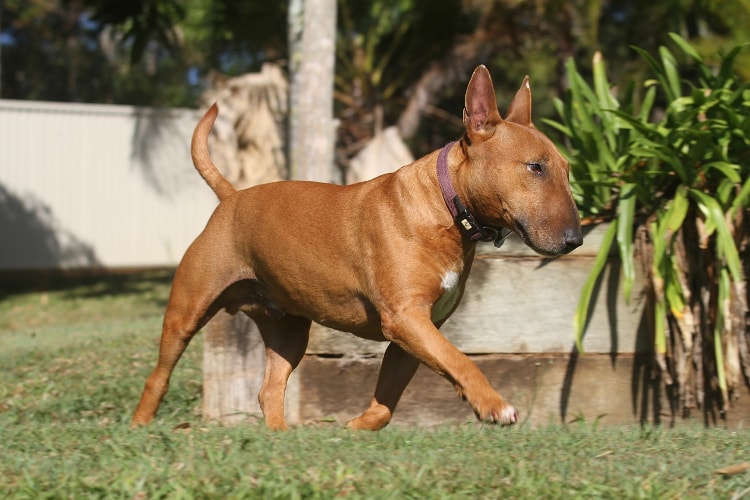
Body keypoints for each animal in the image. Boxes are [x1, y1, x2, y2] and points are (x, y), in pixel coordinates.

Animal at [132, 64, 584, 430]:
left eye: (566, 170)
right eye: (535, 167)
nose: (575, 240)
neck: (445, 206)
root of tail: (231, 197)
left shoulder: (417, 332)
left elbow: (387, 404)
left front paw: (354, 427)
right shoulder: (405, 320)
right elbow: (461, 360)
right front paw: (493, 404)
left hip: (288, 331)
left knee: (269, 389)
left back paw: (281, 438)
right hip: (187, 310)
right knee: (159, 375)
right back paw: (140, 425)